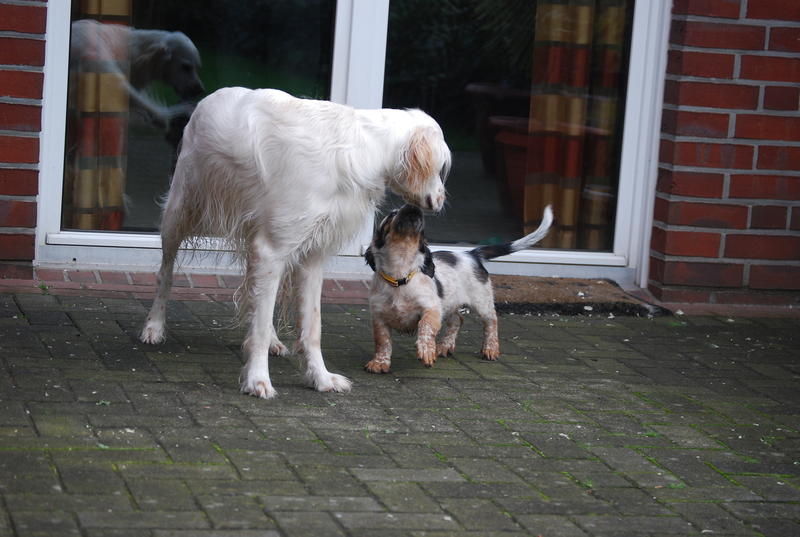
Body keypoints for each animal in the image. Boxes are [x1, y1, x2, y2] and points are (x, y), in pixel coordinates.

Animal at [139, 88, 450, 398]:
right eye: (439, 168)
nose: (441, 200)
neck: (364, 146)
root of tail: (211, 96)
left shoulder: (310, 256)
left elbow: (311, 327)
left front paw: (320, 377)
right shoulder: (272, 250)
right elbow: (259, 327)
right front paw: (257, 379)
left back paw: (275, 341)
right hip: (181, 211)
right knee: (165, 273)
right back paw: (154, 326)